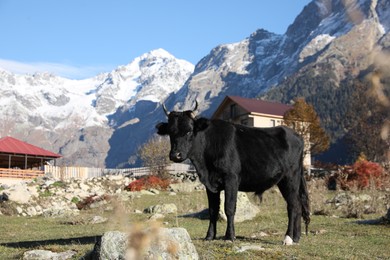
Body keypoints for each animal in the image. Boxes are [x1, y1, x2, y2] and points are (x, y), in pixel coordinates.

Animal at [155, 101, 310, 244]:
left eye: (188, 130)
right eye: (170, 132)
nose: (175, 155)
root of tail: (295, 134)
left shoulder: (231, 179)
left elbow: (229, 208)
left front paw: (230, 236)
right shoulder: (210, 184)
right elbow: (213, 210)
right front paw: (209, 236)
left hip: (291, 177)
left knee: (293, 205)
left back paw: (288, 238)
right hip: (285, 180)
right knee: (297, 205)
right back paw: (296, 237)